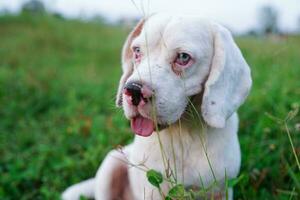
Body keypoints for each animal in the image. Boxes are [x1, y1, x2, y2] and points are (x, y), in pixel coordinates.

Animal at [62, 13, 252, 199]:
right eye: (137, 51)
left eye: (183, 57)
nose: (134, 90)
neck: (183, 135)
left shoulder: (221, 189)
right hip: (112, 162)